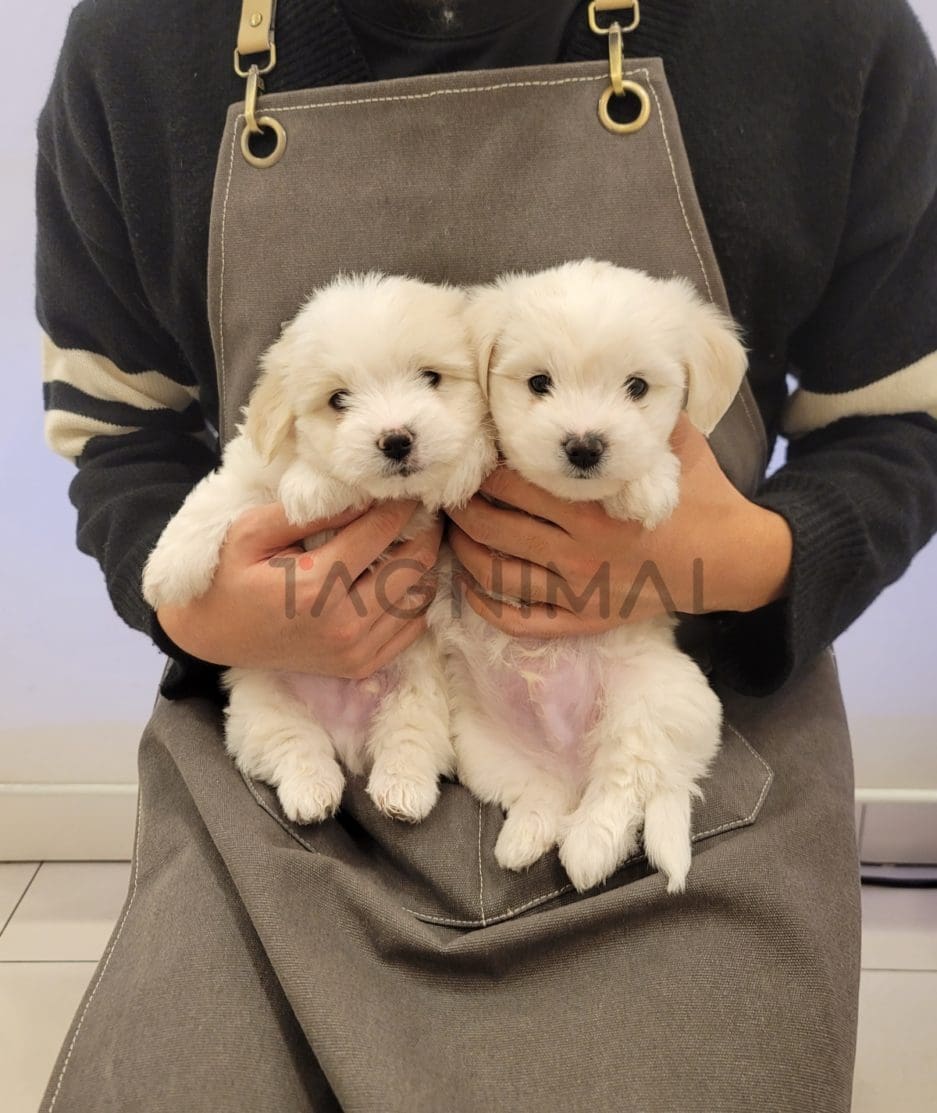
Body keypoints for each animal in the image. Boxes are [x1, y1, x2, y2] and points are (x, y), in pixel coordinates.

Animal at [142, 273, 491, 823]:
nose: (396, 440)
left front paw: (316, 486)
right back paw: (312, 791)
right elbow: (214, 500)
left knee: (410, 742)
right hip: (263, 706)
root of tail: (346, 734)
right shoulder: (252, 472)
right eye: (338, 399)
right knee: (294, 748)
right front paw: (166, 573)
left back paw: (402, 792)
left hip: (421, 694)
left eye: (431, 378)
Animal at [434, 260, 747, 894]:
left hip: (656, 700)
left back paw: (589, 850)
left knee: (625, 783)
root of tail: (572, 762)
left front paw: (649, 486)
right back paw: (524, 839)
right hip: (486, 747)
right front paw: (459, 461)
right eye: (538, 383)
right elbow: (478, 430)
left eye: (637, 388)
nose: (583, 446)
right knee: (544, 794)